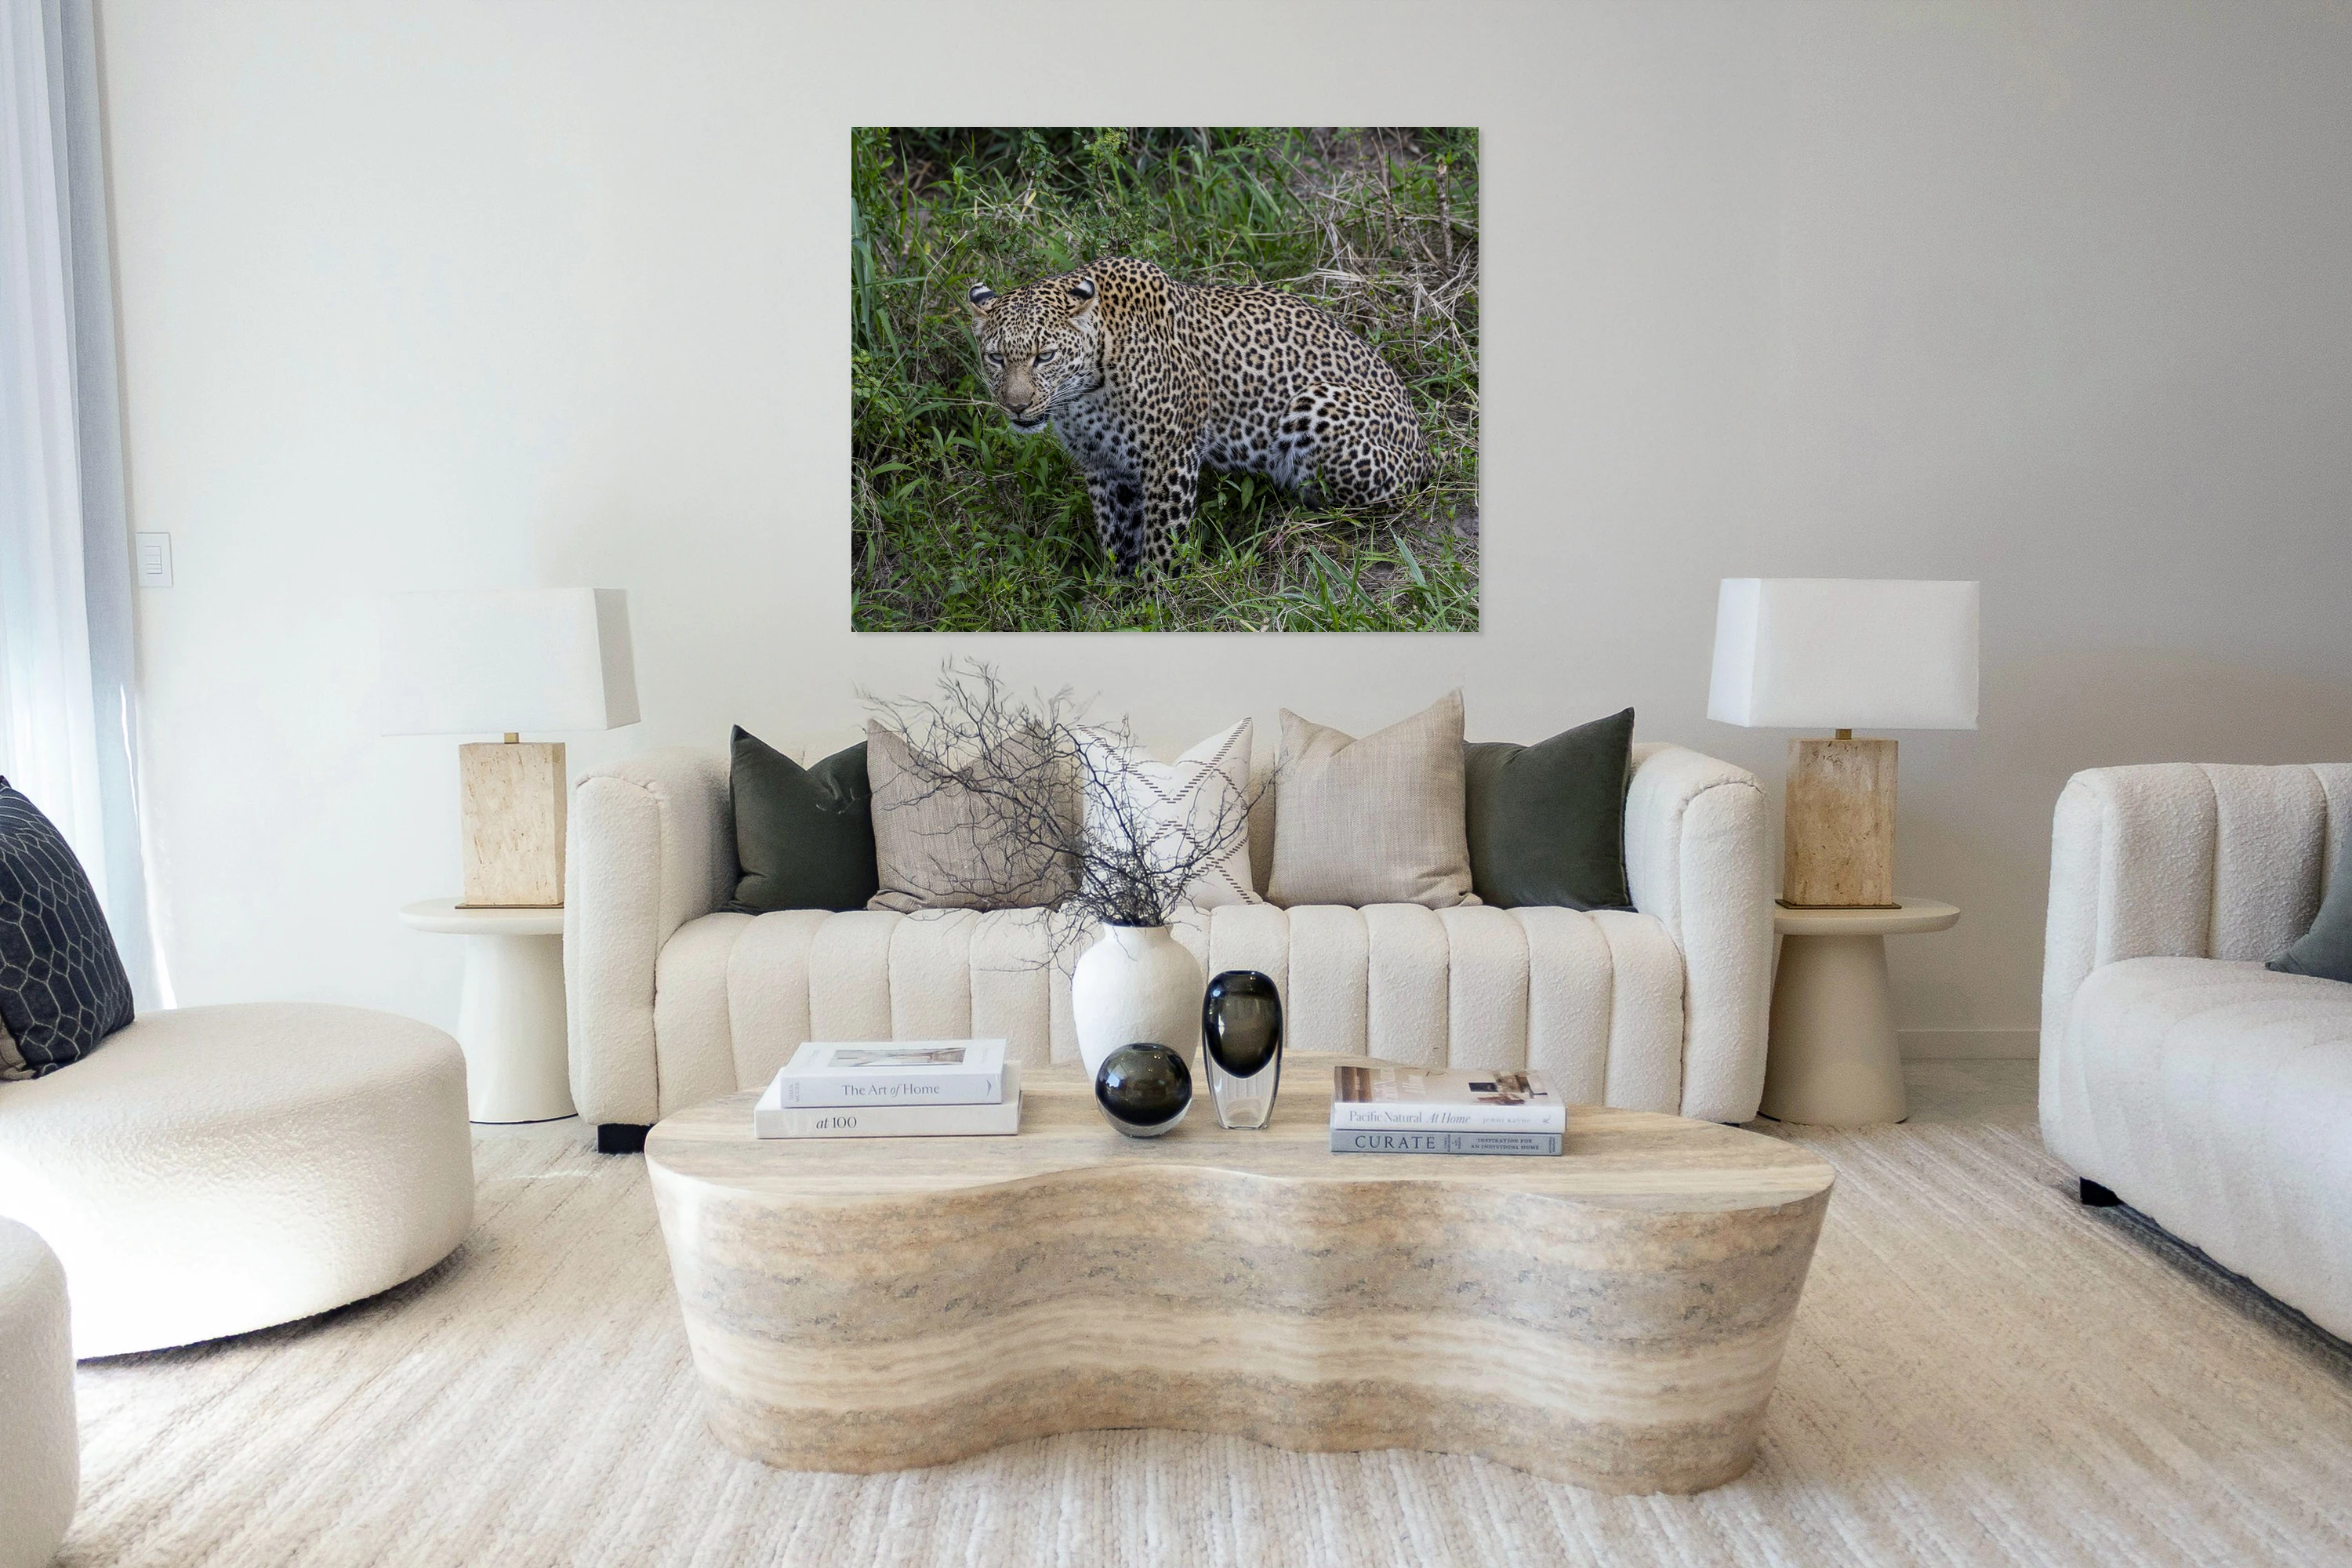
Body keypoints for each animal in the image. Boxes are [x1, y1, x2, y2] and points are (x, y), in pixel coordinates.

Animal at [966, 256, 1432, 576]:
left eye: (1045, 356)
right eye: (995, 358)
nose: (1016, 405)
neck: (1083, 394)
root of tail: (1428, 451)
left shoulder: (1170, 455)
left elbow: (1161, 540)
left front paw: (1156, 598)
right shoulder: (1103, 466)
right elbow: (1116, 536)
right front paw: (1116, 595)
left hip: (1317, 405)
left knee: (1367, 505)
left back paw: (1289, 522)